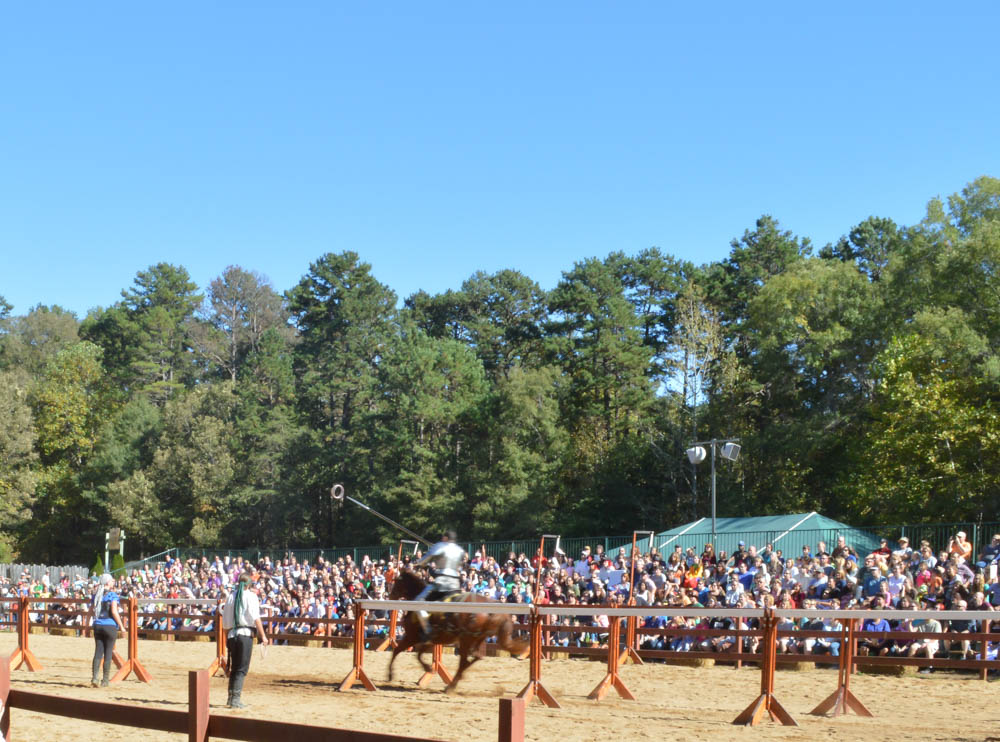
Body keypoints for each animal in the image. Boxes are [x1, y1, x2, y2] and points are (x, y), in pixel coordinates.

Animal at [386, 572, 532, 696]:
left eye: (397, 582)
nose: (390, 596)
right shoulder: (427, 640)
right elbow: (413, 653)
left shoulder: (412, 637)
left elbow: (403, 652)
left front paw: (391, 675)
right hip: (476, 639)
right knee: (475, 657)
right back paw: (454, 682)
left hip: (466, 640)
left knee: (464, 661)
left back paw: (451, 686)